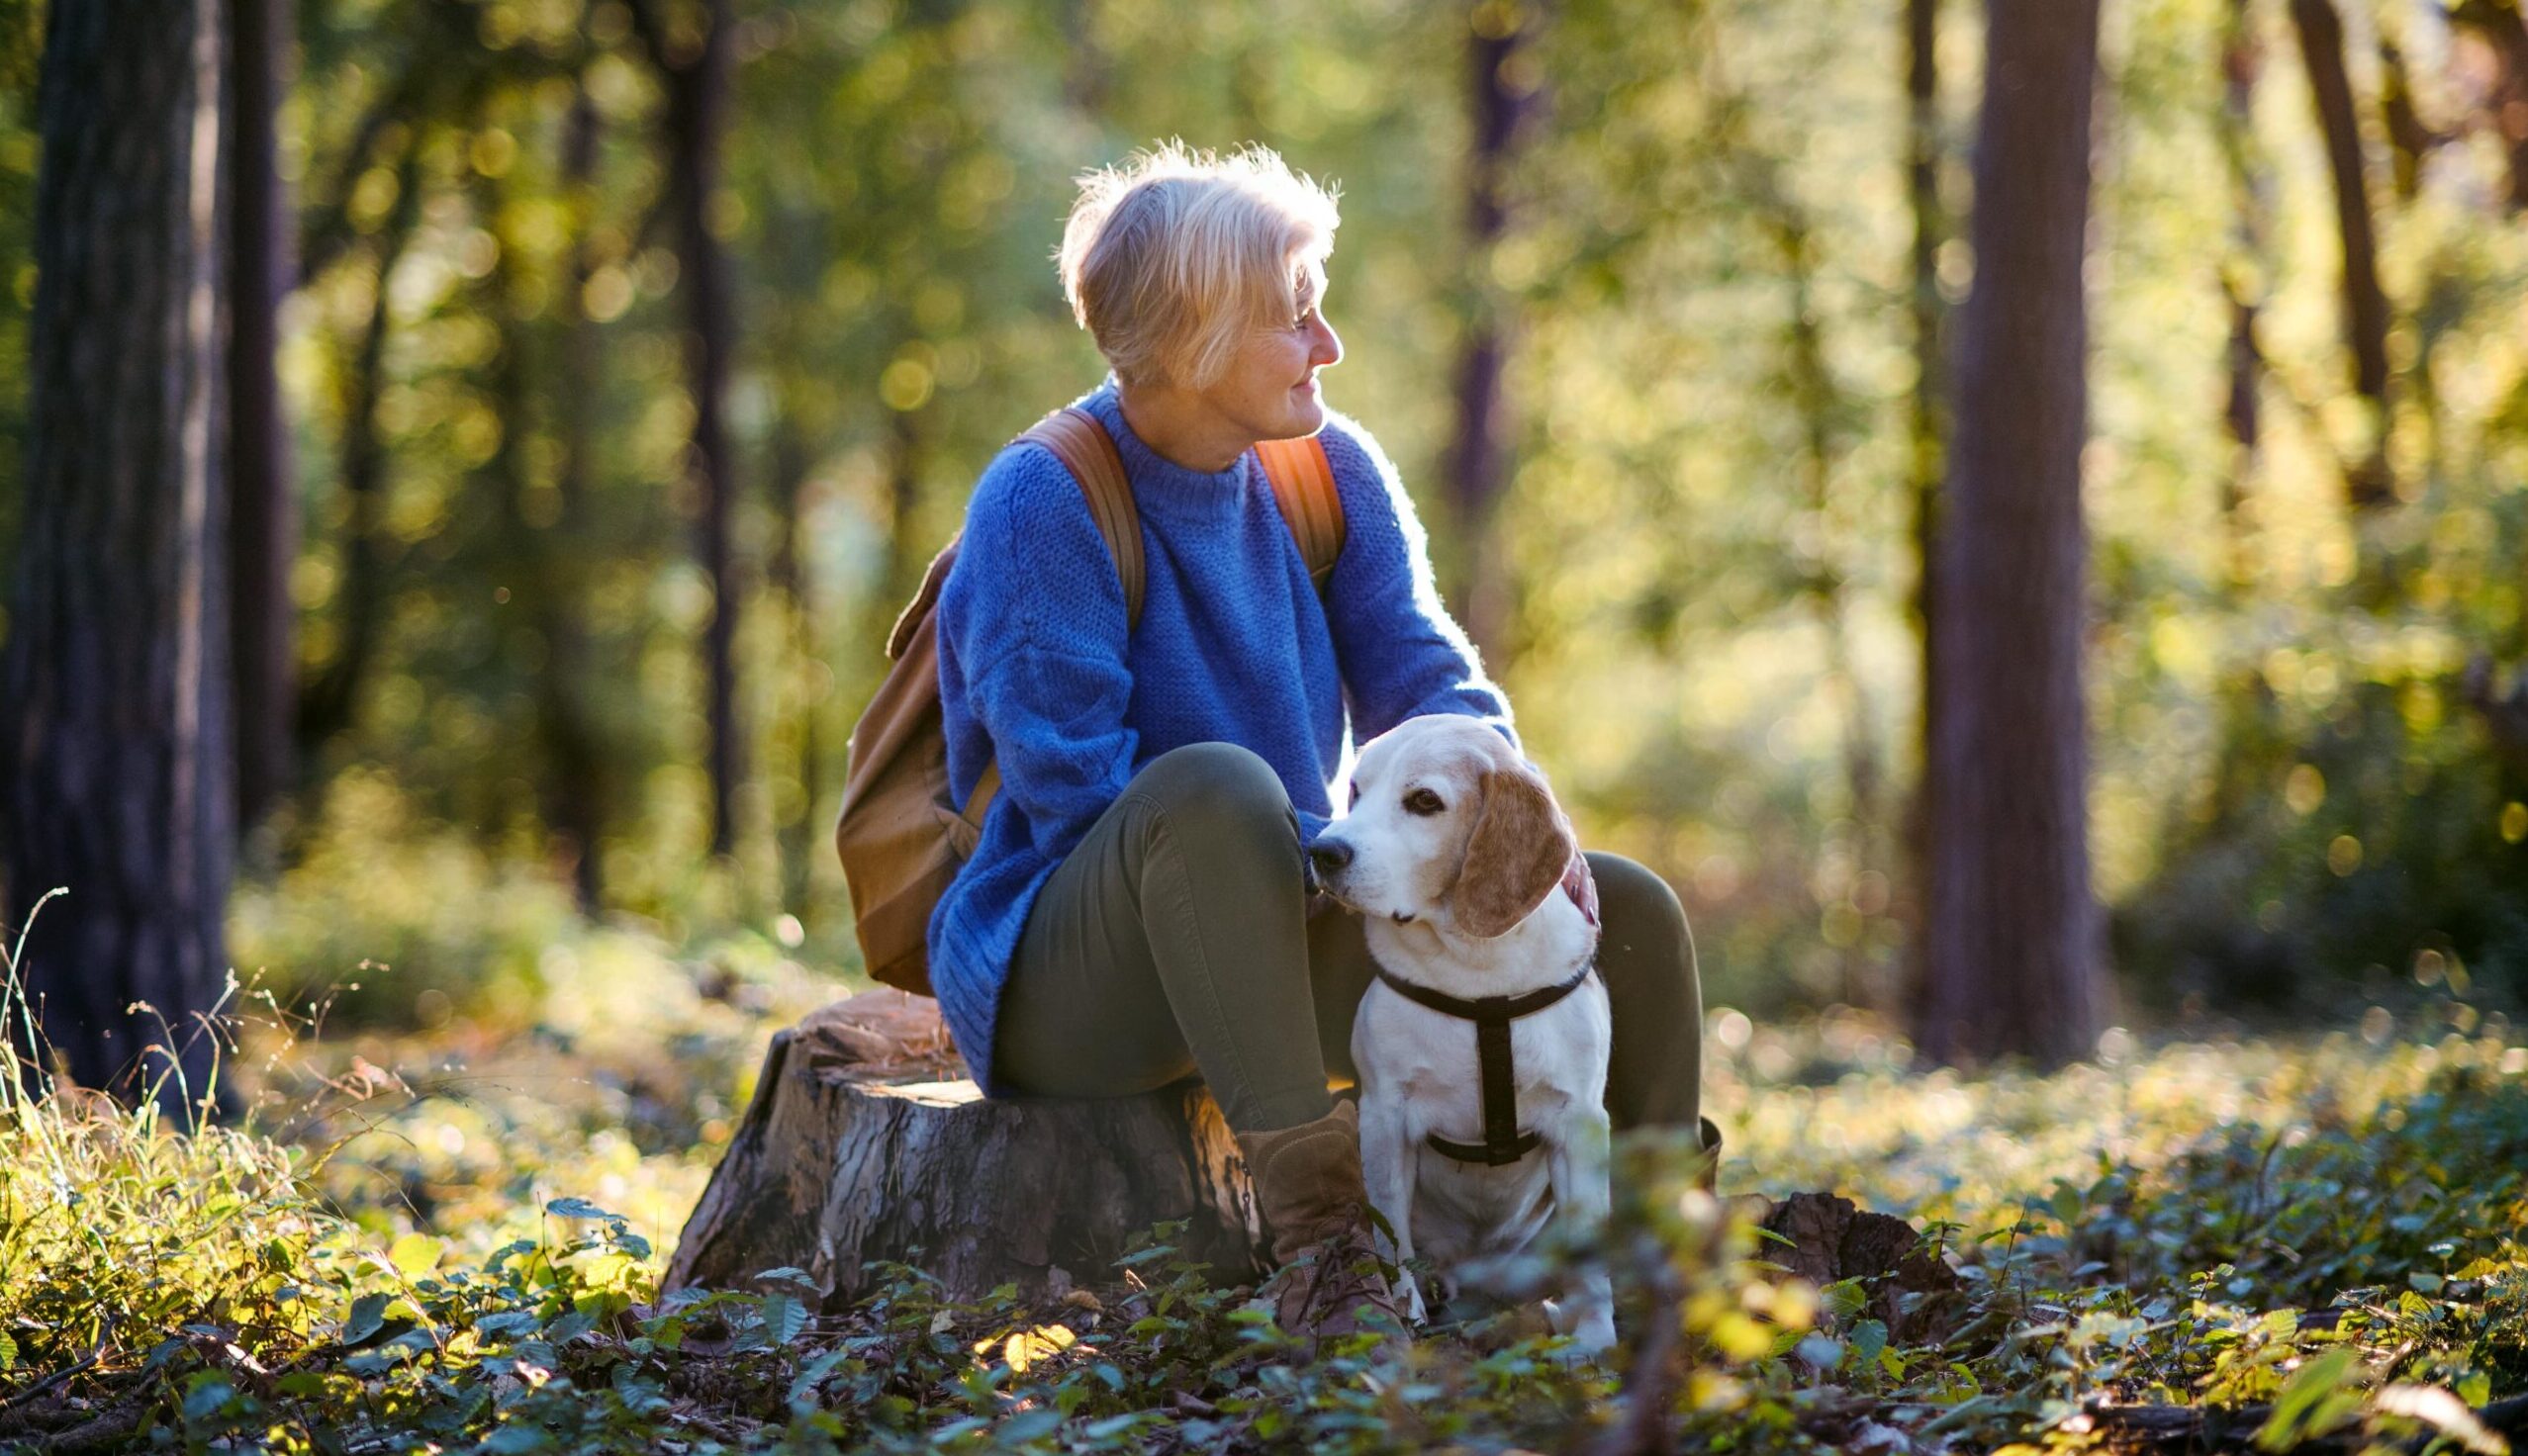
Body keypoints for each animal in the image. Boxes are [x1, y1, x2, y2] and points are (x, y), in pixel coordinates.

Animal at [1314, 712, 1607, 1344]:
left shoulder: (1581, 1125)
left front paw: (1598, 1342)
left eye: (1425, 801)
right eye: (1356, 790)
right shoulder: (1384, 1119)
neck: (1478, 974)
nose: (1322, 851)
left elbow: (1594, 1261)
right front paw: (1405, 1319)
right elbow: (1391, 1241)